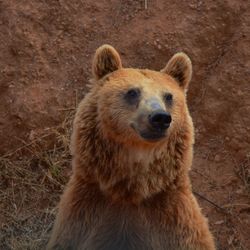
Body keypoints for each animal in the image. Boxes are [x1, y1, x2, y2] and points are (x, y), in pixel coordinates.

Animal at [47, 44, 216, 249]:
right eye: (132, 92)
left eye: (169, 96)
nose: (160, 118)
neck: (132, 190)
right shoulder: (85, 214)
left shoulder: (175, 222)